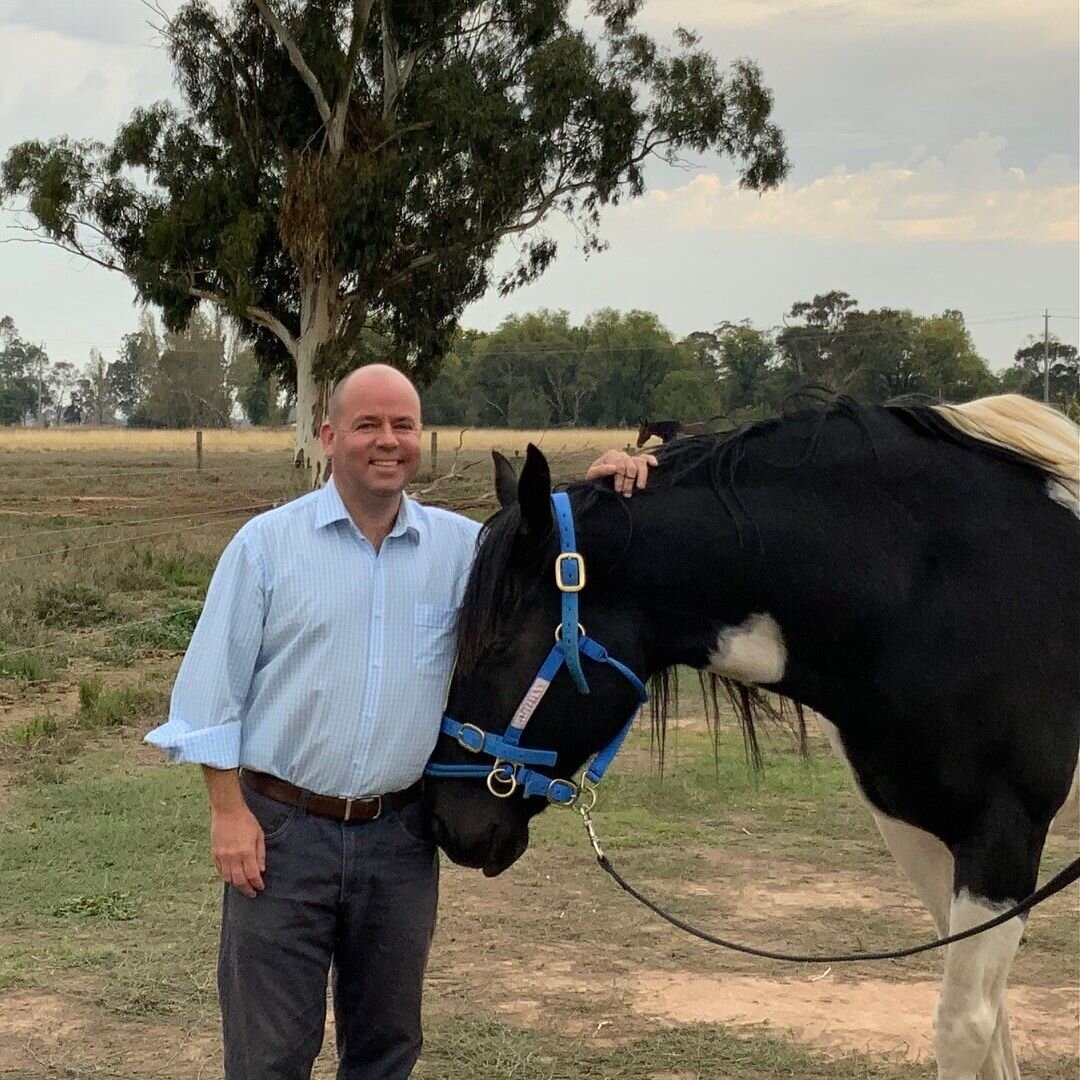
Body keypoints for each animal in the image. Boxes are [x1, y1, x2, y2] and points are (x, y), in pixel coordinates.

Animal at [427, 395, 1080, 1080]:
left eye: (499, 644)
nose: (446, 822)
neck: (943, 587)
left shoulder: (1003, 834)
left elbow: (966, 1024)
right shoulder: (919, 832)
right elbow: (994, 1023)